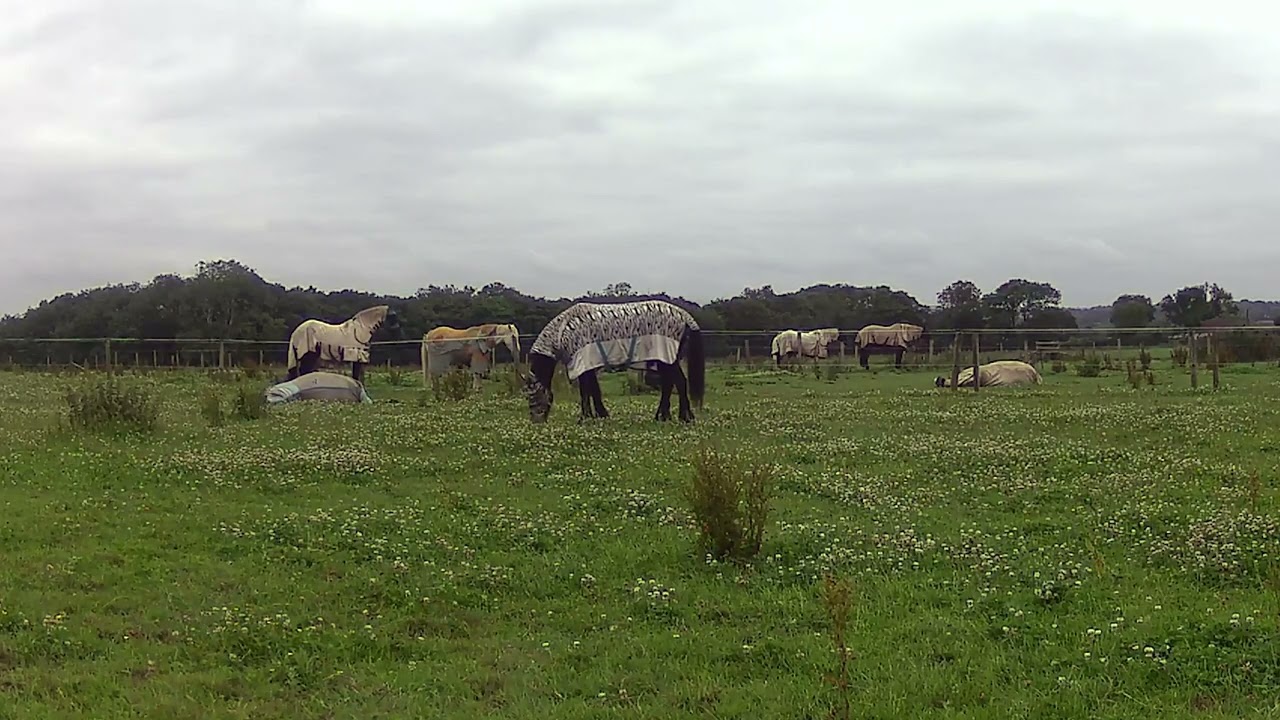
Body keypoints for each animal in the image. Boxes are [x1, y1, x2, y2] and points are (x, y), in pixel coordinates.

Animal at [519, 300, 705, 423]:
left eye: (533, 397)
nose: (536, 422)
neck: (563, 330)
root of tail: (685, 316)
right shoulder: (588, 366)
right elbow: (592, 390)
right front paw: (598, 415)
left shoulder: (584, 365)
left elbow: (587, 391)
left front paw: (587, 417)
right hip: (664, 360)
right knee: (670, 385)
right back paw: (664, 416)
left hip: (668, 359)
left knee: (678, 383)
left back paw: (683, 417)